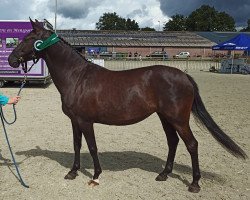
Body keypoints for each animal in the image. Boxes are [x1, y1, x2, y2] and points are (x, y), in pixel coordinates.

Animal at [7, 19, 246, 193]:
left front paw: (95, 176)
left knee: (192, 145)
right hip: (165, 118)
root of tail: (184, 75)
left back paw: (195, 184)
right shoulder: (75, 121)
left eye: (29, 38)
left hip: (178, 119)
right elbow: (77, 145)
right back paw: (163, 174)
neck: (77, 77)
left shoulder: (85, 121)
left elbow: (92, 147)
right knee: (173, 142)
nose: (11, 60)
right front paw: (73, 172)